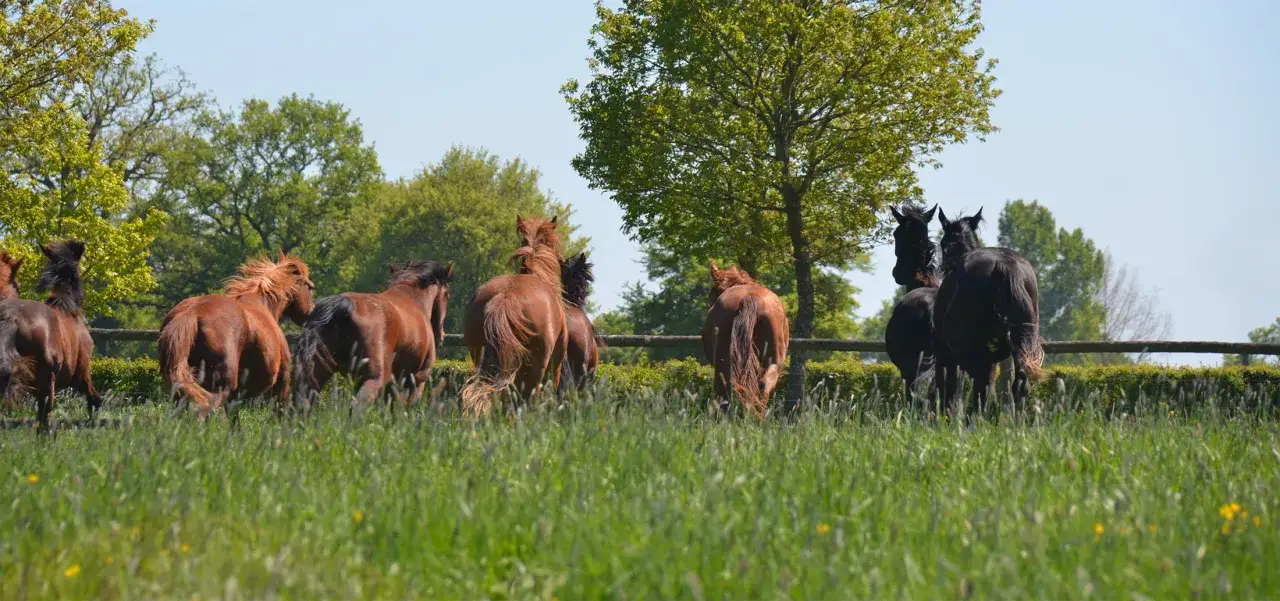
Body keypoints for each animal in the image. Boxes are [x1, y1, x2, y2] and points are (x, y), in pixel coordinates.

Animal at [0, 240, 102, 431]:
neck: (67, 307)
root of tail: (12, 318)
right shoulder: (81, 375)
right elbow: (94, 401)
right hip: (48, 383)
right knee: (45, 420)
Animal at [158, 252, 315, 421]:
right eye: (310, 287)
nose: (311, 311)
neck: (263, 305)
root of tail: (191, 313)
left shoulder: (234, 398)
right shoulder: (282, 382)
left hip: (182, 390)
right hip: (219, 387)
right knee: (201, 412)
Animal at [292, 260, 453, 410]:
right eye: (447, 295)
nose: (440, 336)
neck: (413, 299)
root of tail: (344, 305)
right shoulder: (417, 380)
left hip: (319, 373)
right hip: (374, 379)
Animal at [933, 208, 1044, 421]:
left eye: (943, 242)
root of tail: (1005, 264)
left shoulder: (946, 353)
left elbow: (950, 388)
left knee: (977, 384)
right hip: (1022, 344)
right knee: (1018, 383)